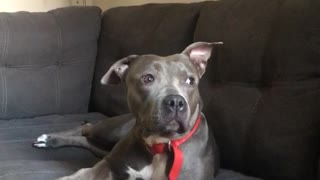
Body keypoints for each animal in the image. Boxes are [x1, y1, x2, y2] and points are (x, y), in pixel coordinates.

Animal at [33, 41, 222, 179]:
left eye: (190, 80)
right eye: (147, 79)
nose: (175, 101)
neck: (161, 146)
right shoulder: (110, 163)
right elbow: (83, 174)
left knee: (87, 139)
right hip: (112, 131)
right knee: (86, 129)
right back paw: (49, 139)